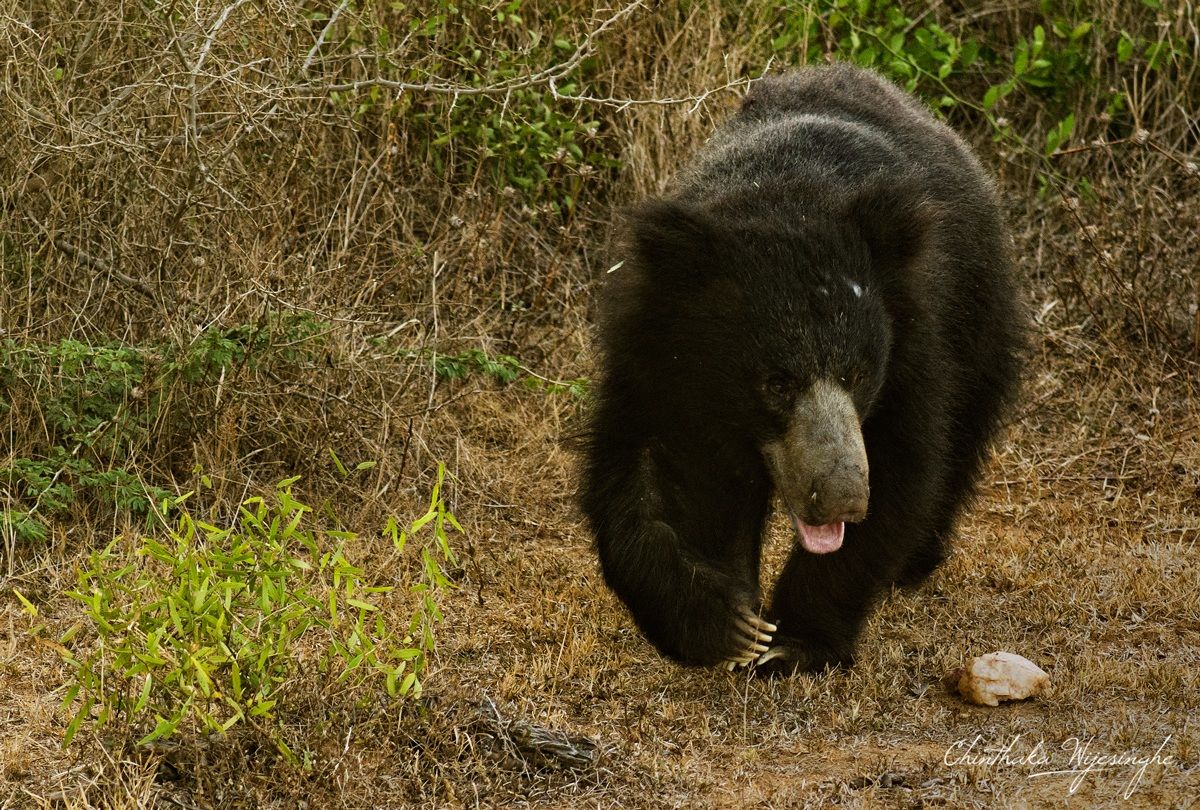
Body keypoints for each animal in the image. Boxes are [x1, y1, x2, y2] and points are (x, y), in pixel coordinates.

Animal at [580, 63, 1026, 674]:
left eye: (858, 375)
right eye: (777, 382)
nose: (843, 497)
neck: (786, 199)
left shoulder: (916, 344)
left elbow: (903, 467)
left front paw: (790, 643)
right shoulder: (657, 347)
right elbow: (641, 471)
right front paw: (730, 627)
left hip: (981, 317)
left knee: (965, 432)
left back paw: (916, 563)